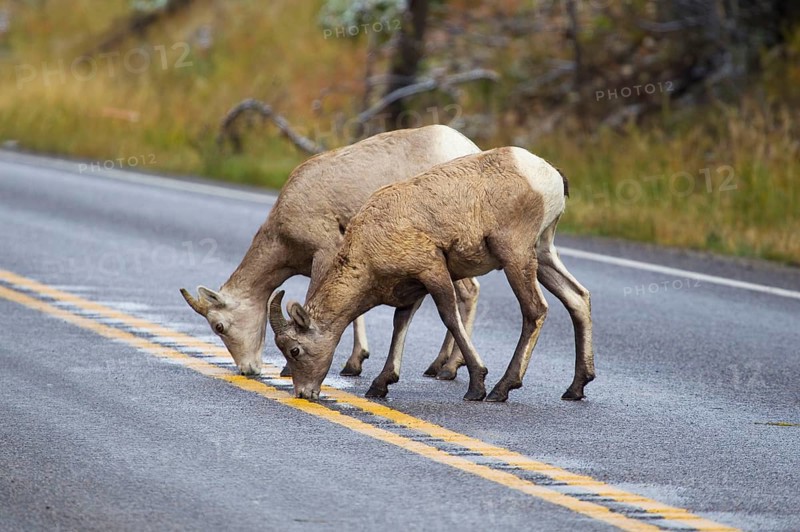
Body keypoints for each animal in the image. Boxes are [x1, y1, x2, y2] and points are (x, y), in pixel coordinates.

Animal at [180, 125, 481, 378]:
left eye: (219, 326)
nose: (248, 369)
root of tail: (470, 148)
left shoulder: (324, 253)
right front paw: (354, 363)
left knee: (466, 293)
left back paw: (449, 368)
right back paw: (439, 366)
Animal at [269, 146, 594, 402]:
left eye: (295, 350)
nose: (304, 393)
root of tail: (549, 175)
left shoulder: (433, 270)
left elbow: (449, 317)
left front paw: (476, 385)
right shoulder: (412, 289)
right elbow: (400, 324)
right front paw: (380, 385)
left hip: (516, 256)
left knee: (535, 310)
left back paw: (501, 389)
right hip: (543, 254)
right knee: (577, 298)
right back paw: (576, 388)